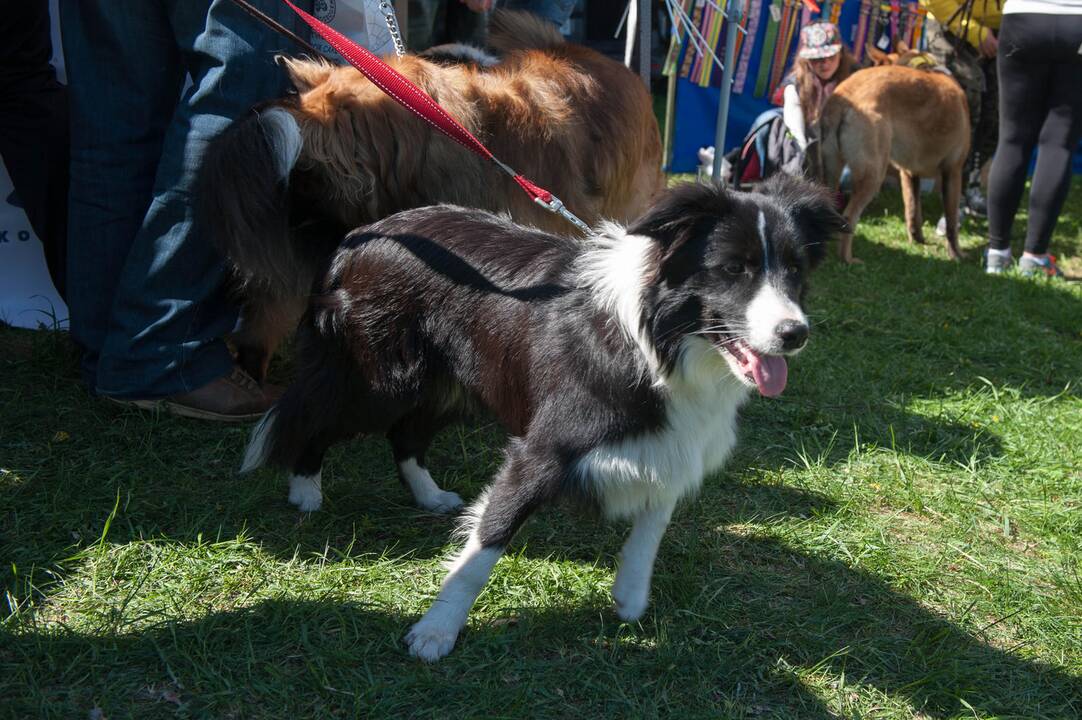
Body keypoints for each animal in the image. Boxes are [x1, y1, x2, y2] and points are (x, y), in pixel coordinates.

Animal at [241, 174, 839, 658]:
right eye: (733, 269)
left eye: (794, 271)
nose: (795, 333)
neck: (660, 342)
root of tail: (363, 232)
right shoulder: (542, 450)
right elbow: (488, 541)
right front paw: (436, 631)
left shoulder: (672, 440)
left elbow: (654, 518)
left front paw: (630, 593)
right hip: (382, 376)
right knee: (320, 412)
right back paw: (306, 487)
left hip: (447, 385)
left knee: (407, 434)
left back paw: (428, 493)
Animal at [813, 42, 969, 263]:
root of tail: (842, 100)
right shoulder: (953, 172)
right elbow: (951, 223)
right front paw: (956, 255)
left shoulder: (909, 174)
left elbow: (913, 212)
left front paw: (918, 241)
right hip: (873, 175)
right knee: (849, 216)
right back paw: (847, 259)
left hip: (832, 171)